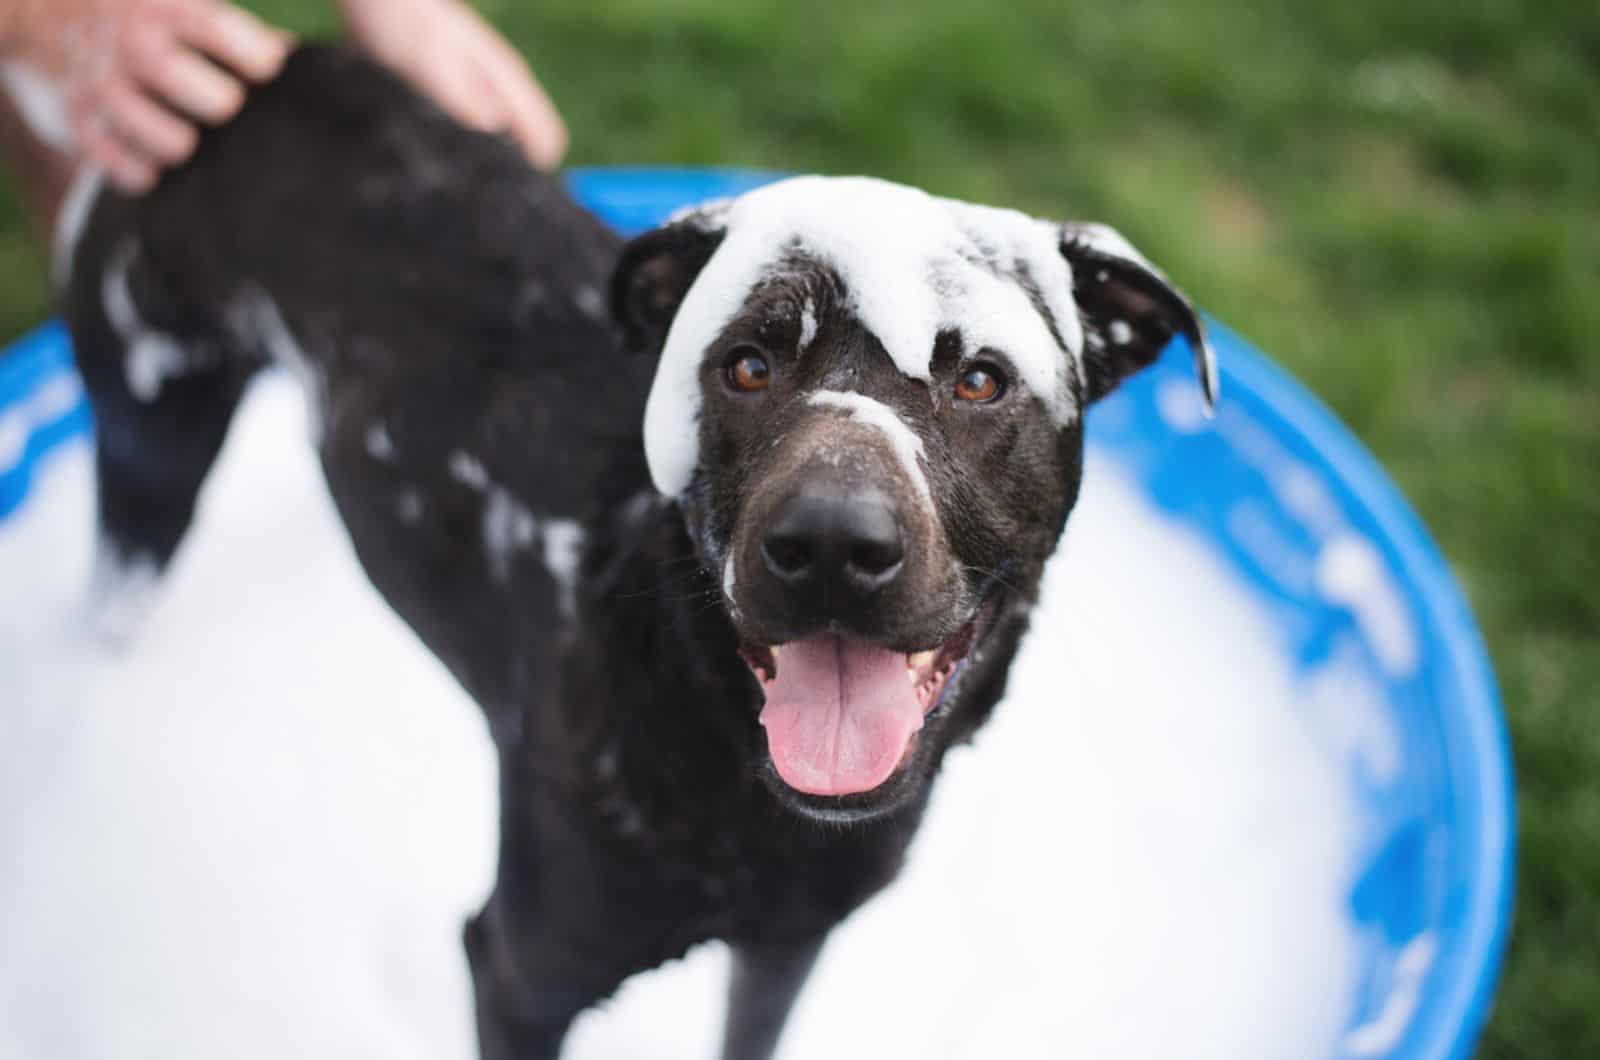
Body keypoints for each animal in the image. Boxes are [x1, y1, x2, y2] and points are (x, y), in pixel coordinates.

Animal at [59, 43, 1209, 1060]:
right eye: (743, 365)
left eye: (979, 378)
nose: (831, 545)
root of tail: (264, 67)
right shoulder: (518, 973)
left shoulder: (787, 947)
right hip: (151, 447)